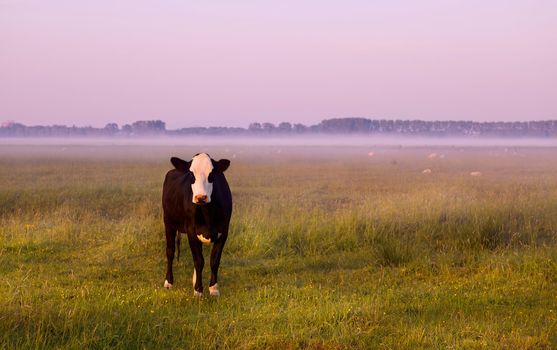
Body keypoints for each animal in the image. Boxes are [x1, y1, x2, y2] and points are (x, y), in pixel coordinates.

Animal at [162, 152, 231, 296]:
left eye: (212, 173)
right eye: (191, 174)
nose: (200, 197)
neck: (208, 213)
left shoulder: (224, 231)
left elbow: (214, 261)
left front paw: (213, 288)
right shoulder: (191, 231)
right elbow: (199, 261)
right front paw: (198, 290)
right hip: (168, 222)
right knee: (170, 252)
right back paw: (168, 282)